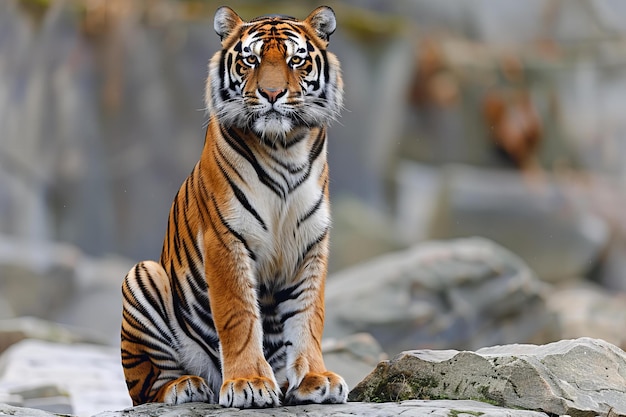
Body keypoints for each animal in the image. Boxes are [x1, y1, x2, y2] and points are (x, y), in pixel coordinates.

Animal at [120, 4, 346, 408]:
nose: (272, 93)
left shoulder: (310, 245)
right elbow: (238, 315)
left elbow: (309, 316)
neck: (284, 147)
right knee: (147, 388)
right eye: (250, 59)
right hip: (142, 275)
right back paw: (186, 385)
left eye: (296, 59)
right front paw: (249, 384)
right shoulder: (225, 239)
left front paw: (315, 379)